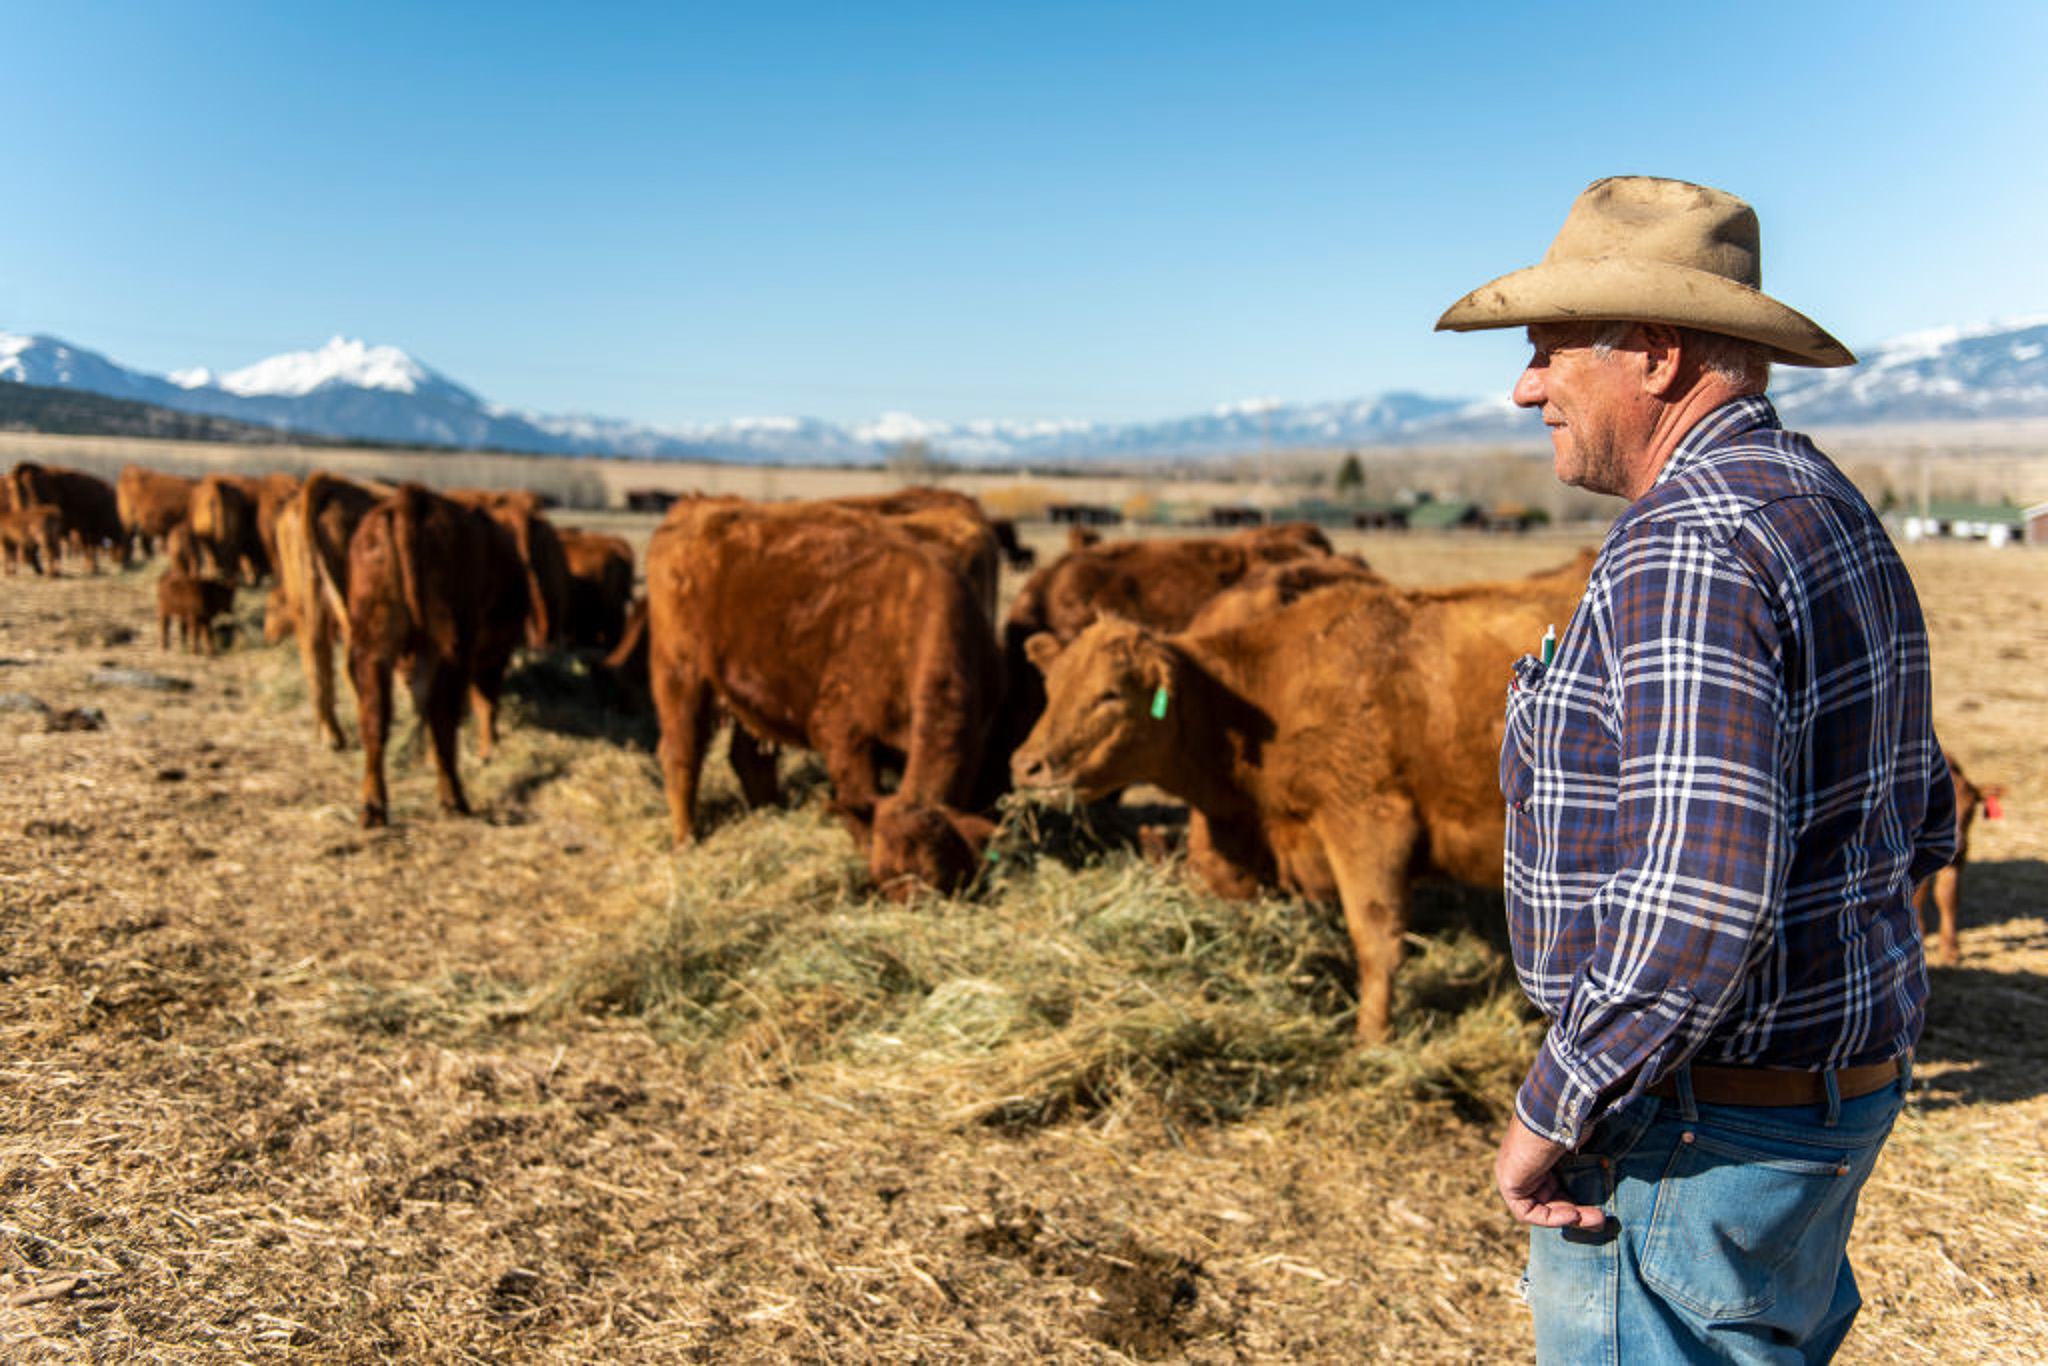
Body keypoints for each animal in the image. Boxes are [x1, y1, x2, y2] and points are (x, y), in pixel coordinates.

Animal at [339, 485, 528, 827]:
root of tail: (412, 496)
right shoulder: (494, 656)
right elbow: (485, 704)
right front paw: (488, 749)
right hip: (452, 644)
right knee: (443, 715)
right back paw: (454, 799)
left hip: (373, 643)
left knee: (374, 717)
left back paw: (373, 807)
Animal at [638, 497, 991, 892]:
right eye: (886, 879)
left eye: (936, 874)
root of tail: (697, 504)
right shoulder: (843, 737)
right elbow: (857, 801)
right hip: (680, 675)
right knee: (681, 755)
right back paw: (686, 840)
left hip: (751, 691)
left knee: (748, 758)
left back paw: (769, 814)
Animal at [1007, 548, 1597, 1040]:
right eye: (1051, 687)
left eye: (1110, 694)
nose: (1025, 765)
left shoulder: (1369, 822)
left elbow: (1375, 940)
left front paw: (1371, 1038)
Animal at [1908, 753, 2007, 966]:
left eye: (1971, 810)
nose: (1958, 842)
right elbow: (1919, 894)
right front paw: (1921, 934)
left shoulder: (1958, 859)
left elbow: (1948, 896)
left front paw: (1950, 949)